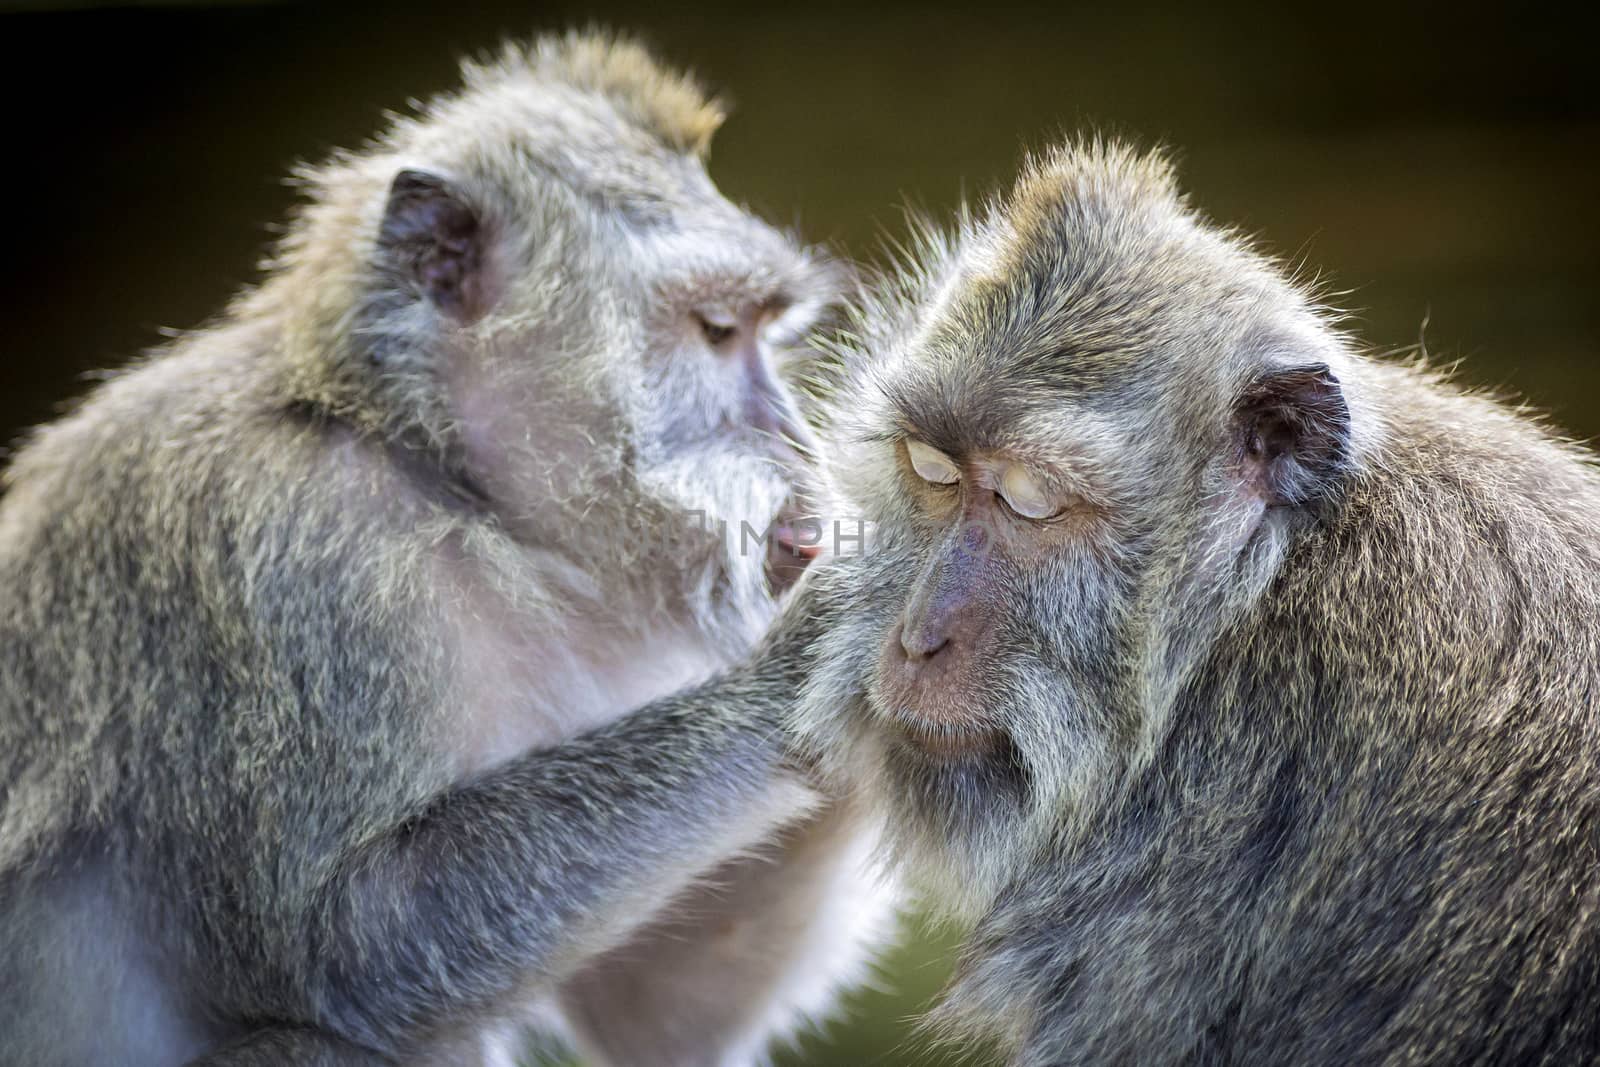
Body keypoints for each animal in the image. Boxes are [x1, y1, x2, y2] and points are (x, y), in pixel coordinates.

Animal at [0, 31, 896, 1067]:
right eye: (716, 331)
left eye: (760, 333)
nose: (795, 440)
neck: (432, 468)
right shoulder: (284, 556)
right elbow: (349, 945)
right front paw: (818, 656)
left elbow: (657, 1010)